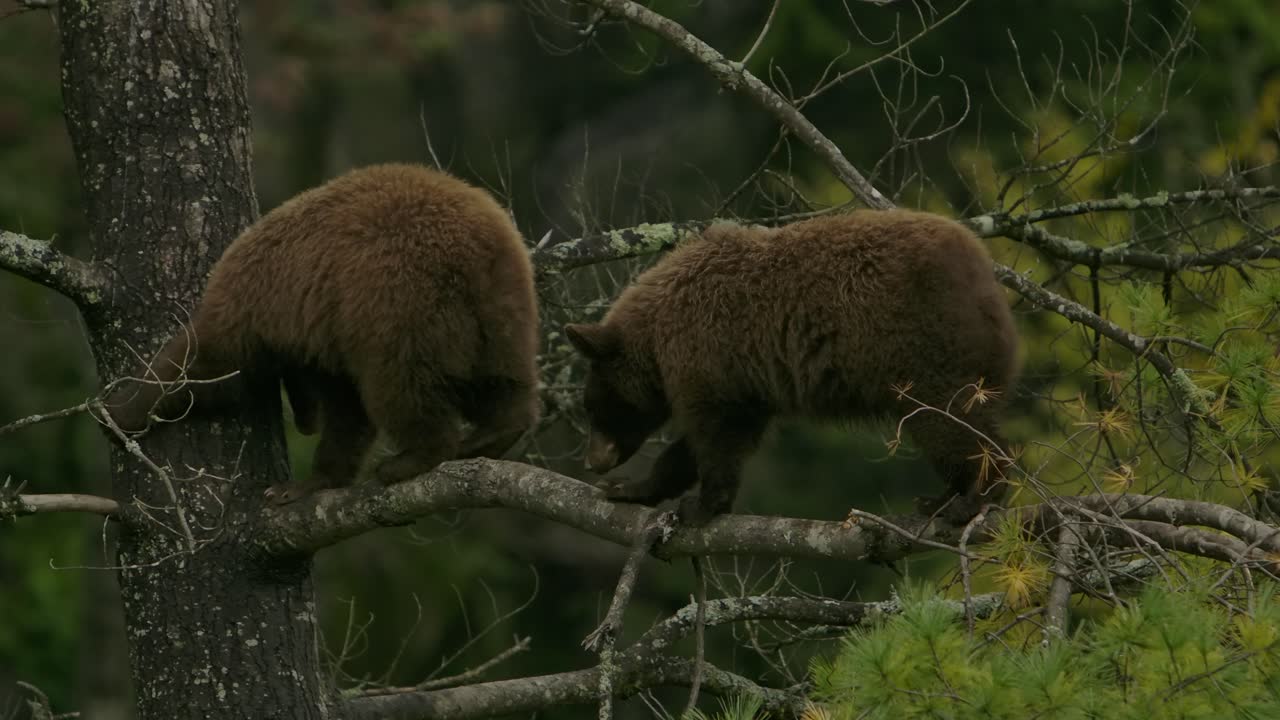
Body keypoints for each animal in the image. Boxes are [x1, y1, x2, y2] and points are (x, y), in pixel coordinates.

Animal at [103, 163, 542, 504]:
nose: (304, 423)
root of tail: (476, 246)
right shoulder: (326, 335)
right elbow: (348, 412)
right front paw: (311, 481)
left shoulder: (258, 306)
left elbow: (208, 365)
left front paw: (122, 410)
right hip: (502, 309)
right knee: (503, 378)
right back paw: (496, 433)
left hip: (399, 301)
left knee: (400, 384)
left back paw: (412, 457)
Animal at [564, 209, 1020, 525]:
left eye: (591, 406)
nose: (591, 462)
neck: (658, 335)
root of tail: (982, 271)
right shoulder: (746, 378)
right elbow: (713, 436)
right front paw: (631, 488)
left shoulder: (709, 349)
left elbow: (716, 433)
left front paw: (702, 504)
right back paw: (940, 499)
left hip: (922, 345)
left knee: (945, 418)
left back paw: (974, 496)